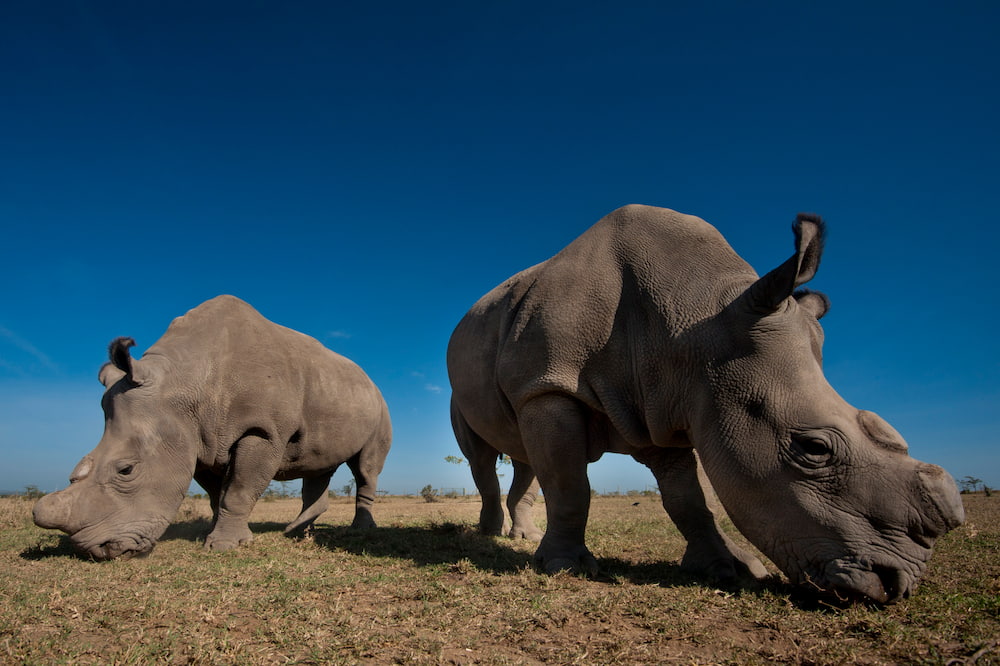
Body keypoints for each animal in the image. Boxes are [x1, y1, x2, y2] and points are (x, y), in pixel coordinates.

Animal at [34, 295, 392, 560]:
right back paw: (298, 533)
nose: (97, 550)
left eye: (127, 470)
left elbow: (238, 490)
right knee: (318, 466)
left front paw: (223, 546)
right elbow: (216, 494)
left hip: (379, 405)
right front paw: (218, 534)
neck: (183, 382)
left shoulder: (262, 431)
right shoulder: (197, 439)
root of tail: (368, 379)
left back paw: (358, 530)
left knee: (364, 468)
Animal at [447, 205, 964, 603]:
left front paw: (729, 568)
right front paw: (564, 568)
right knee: (484, 457)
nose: (896, 585)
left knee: (524, 456)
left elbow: (688, 500)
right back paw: (488, 536)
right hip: (478, 388)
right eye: (814, 449)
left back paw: (521, 537)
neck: (697, 320)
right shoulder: (549, 386)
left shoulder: (663, 403)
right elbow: (571, 486)